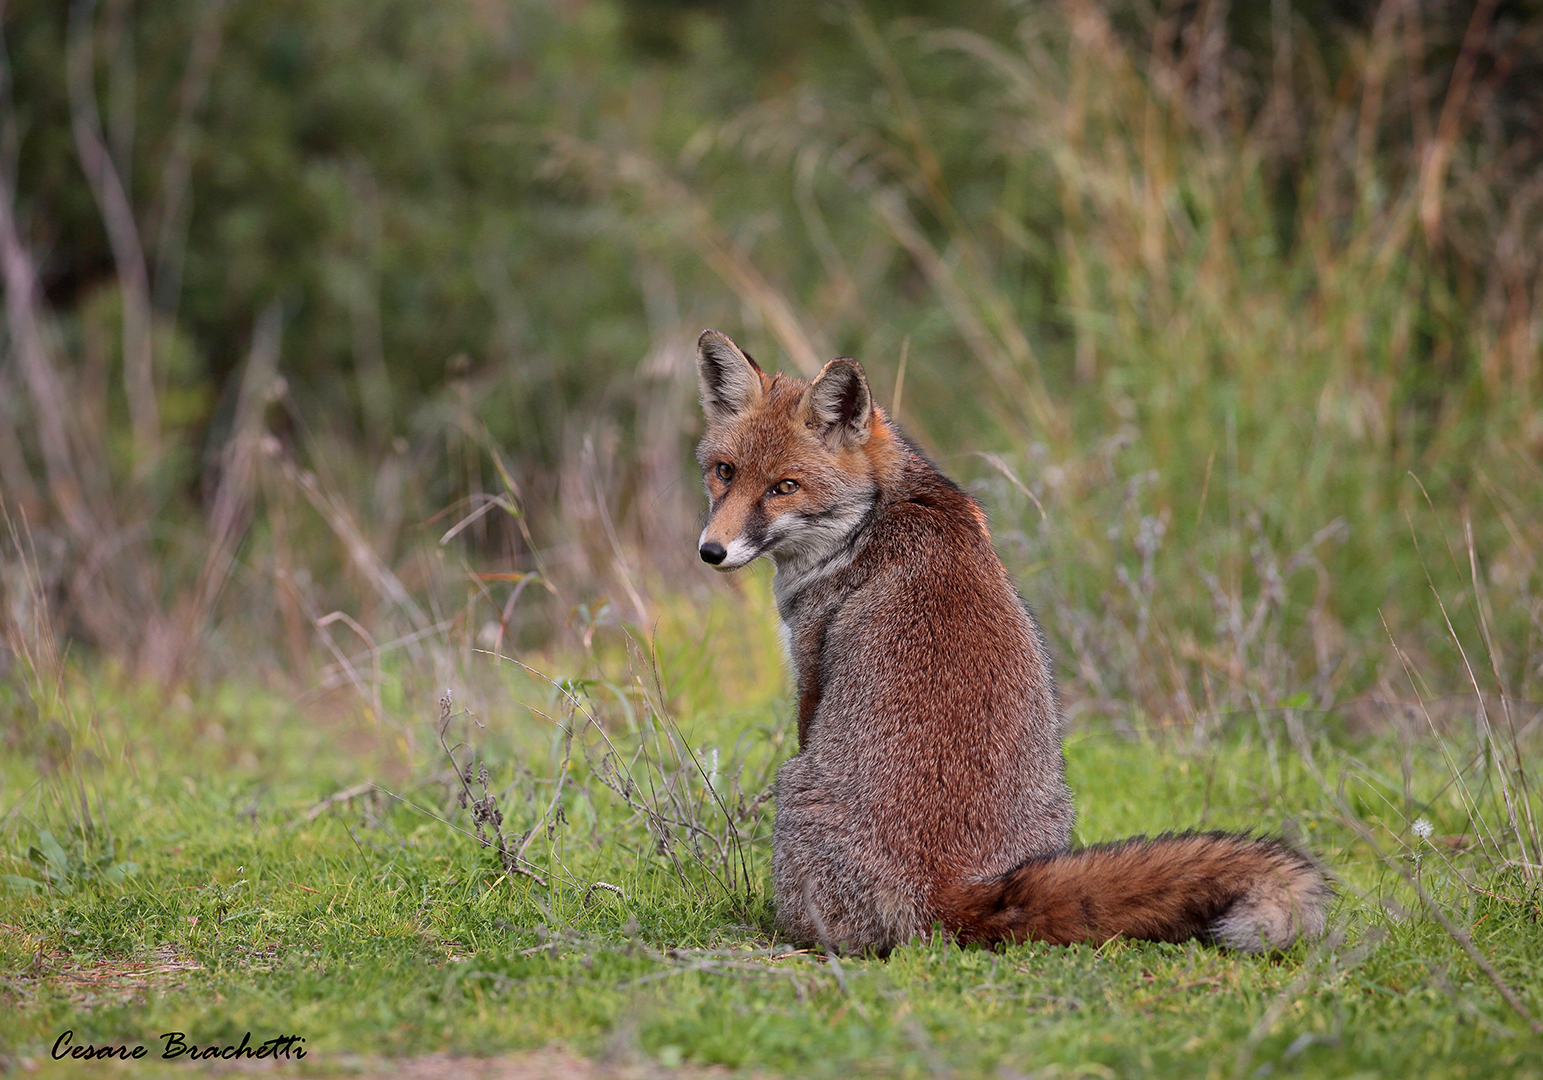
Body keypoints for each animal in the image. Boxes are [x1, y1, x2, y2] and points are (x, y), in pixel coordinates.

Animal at [693, 328, 1331, 956]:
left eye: (785, 487)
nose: (711, 552)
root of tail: (947, 893)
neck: (873, 514)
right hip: (1058, 802)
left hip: (793, 784)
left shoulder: (810, 672)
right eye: (724, 472)